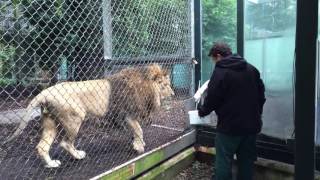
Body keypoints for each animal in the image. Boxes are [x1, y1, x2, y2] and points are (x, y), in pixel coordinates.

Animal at [3, 63, 174, 167]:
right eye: (165, 85)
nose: (173, 94)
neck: (147, 88)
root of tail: (46, 92)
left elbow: (136, 132)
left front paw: (137, 143)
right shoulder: (128, 115)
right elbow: (139, 130)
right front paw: (139, 147)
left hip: (50, 122)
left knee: (42, 147)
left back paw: (52, 164)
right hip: (74, 118)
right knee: (65, 143)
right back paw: (78, 155)